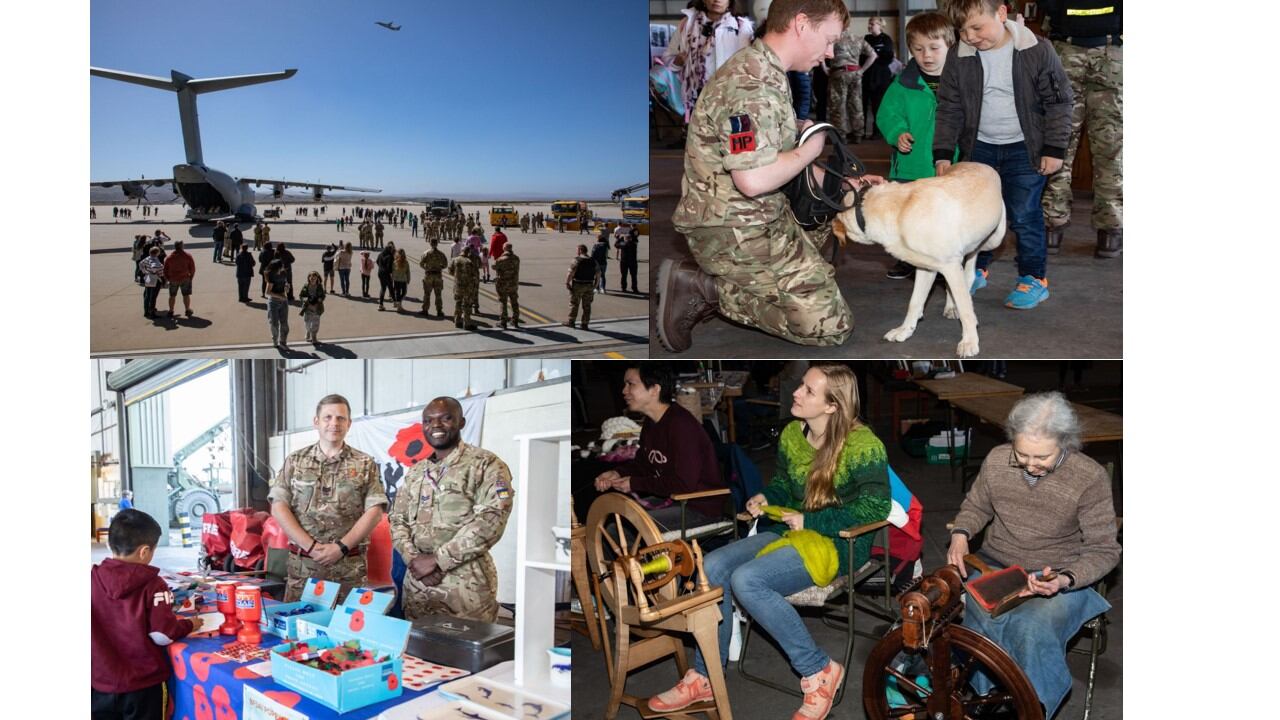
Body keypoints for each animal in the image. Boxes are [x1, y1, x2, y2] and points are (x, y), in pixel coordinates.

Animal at [834, 161, 1003, 353]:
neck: (899, 210)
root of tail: (979, 163)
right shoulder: (927, 268)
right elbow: (914, 302)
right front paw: (905, 330)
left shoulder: (950, 266)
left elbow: (965, 308)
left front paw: (969, 341)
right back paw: (951, 305)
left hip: (994, 238)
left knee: (973, 259)